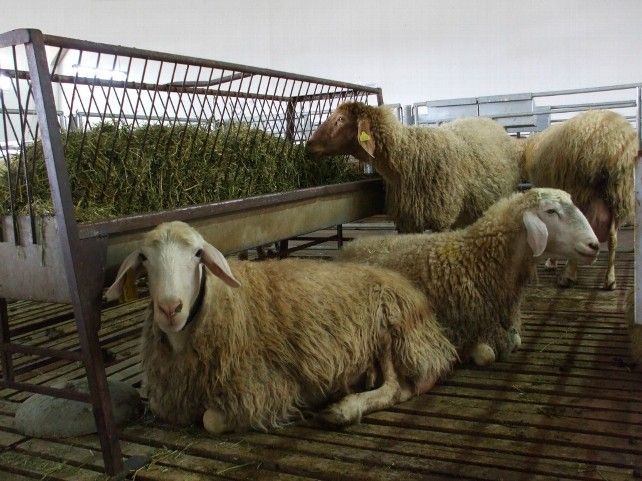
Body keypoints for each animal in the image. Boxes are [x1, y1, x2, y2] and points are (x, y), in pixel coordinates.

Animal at [104, 221, 456, 433]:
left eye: (197, 254)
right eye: (144, 257)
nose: (170, 308)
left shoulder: (263, 389)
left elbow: (210, 420)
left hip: (387, 328)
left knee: (399, 387)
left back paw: (342, 409)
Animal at [305, 101, 522, 233]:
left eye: (340, 119)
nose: (308, 145)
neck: (409, 156)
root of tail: (488, 121)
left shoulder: (441, 220)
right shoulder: (406, 221)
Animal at [337, 188, 600, 365]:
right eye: (550, 211)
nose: (594, 245)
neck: (477, 259)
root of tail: (352, 245)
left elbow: (515, 341)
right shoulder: (459, 328)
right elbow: (487, 354)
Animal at [520, 110, 638, 290]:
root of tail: (610, 143)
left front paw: (552, 261)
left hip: (581, 190)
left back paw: (568, 275)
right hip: (617, 195)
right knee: (613, 238)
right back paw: (610, 280)